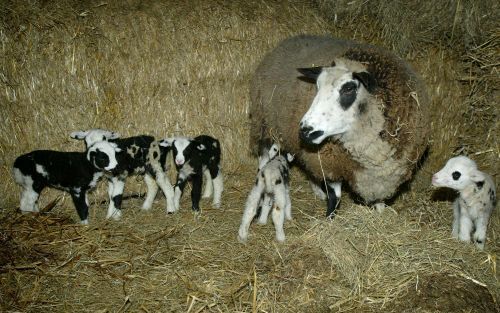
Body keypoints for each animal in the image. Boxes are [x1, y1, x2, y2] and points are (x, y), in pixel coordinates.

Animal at [250, 35, 430, 213]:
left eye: (348, 89)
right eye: (317, 86)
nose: (305, 130)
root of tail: (289, 40)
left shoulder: (384, 177)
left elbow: (380, 203)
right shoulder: (331, 163)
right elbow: (334, 198)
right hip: (266, 125)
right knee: (263, 160)